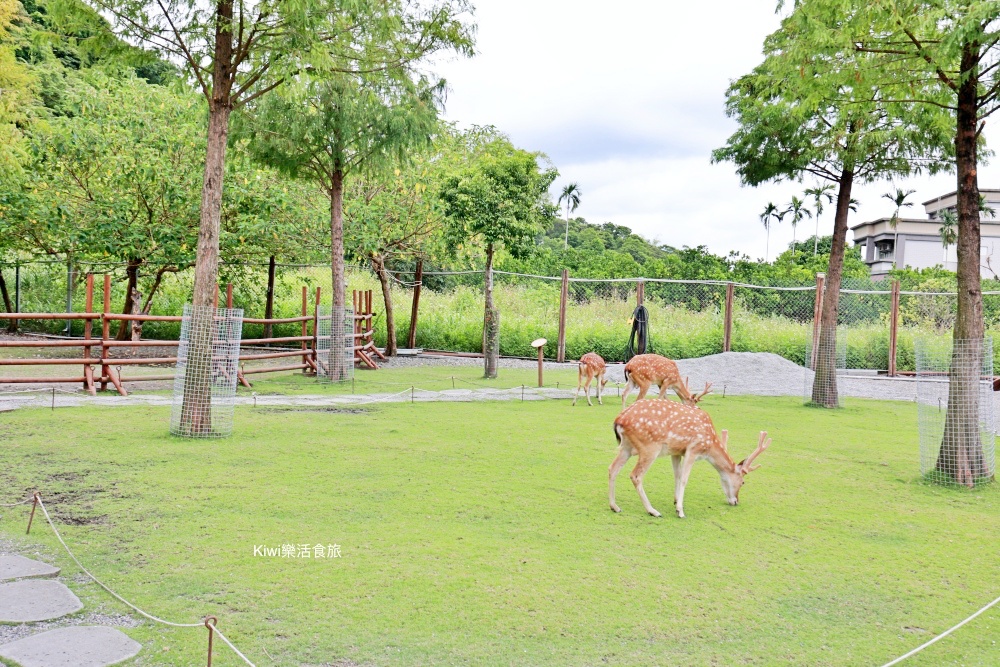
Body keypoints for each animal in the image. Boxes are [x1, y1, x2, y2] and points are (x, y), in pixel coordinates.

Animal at [604, 400, 768, 520]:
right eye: (743, 482)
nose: (735, 501)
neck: (710, 444)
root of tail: (618, 420)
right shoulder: (693, 449)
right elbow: (684, 478)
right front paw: (680, 511)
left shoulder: (676, 451)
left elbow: (676, 475)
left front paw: (676, 501)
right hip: (649, 447)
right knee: (636, 475)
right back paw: (653, 511)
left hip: (626, 447)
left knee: (612, 468)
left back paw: (614, 506)